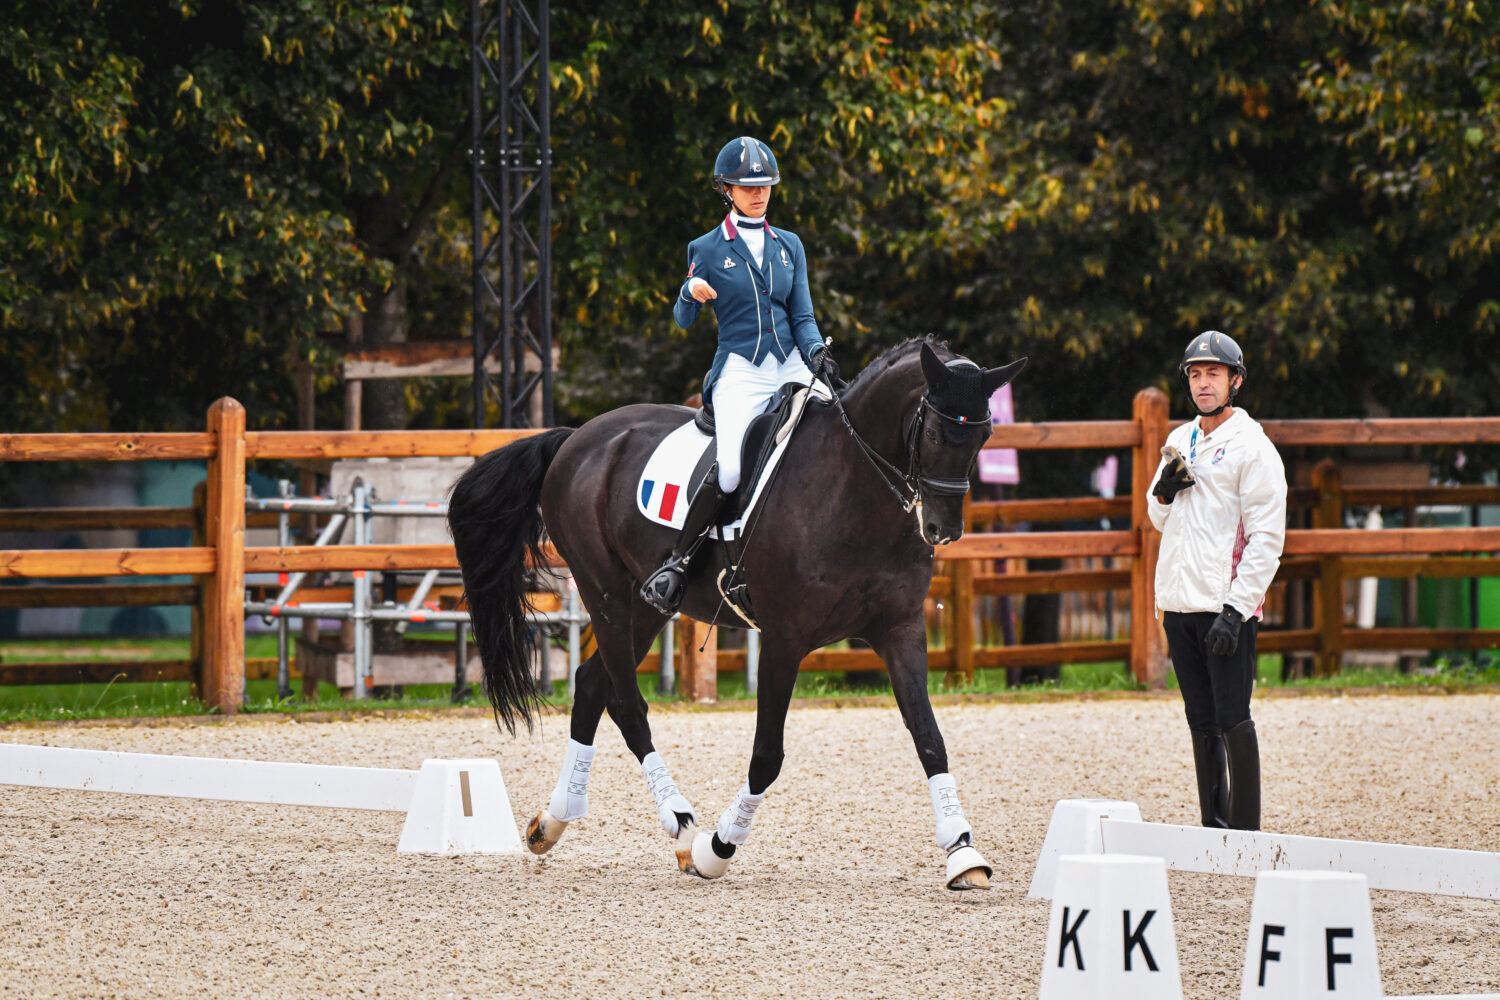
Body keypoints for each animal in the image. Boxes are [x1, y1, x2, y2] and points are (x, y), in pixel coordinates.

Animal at [444, 341, 1026, 893]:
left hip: (646, 605)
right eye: (936, 432)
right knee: (627, 704)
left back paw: (554, 821)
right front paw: (717, 848)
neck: (853, 489)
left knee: (591, 686)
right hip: (605, 592)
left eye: (984, 435)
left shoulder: (900, 631)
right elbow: (767, 754)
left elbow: (929, 736)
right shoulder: (785, 640)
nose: (943, 529)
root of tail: (577, 438)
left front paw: (963, 854)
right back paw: (681, 826)